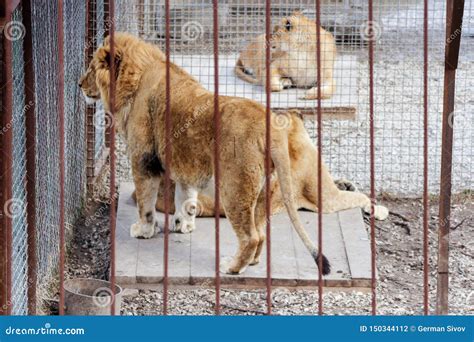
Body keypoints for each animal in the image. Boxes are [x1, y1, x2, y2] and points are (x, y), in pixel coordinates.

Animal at [79, 33, 386, 276]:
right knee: (261, 233)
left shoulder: (144, 160)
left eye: (92, 68)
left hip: (234, 187)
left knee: (250, 236)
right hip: (262, 191)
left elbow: (145, 202)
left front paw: (143, 230)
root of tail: (270, 127)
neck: (137, 77)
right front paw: (183, 224)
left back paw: (231, 267)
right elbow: (185, 197)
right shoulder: (184, 163)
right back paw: (252, 263)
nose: (79, 84)